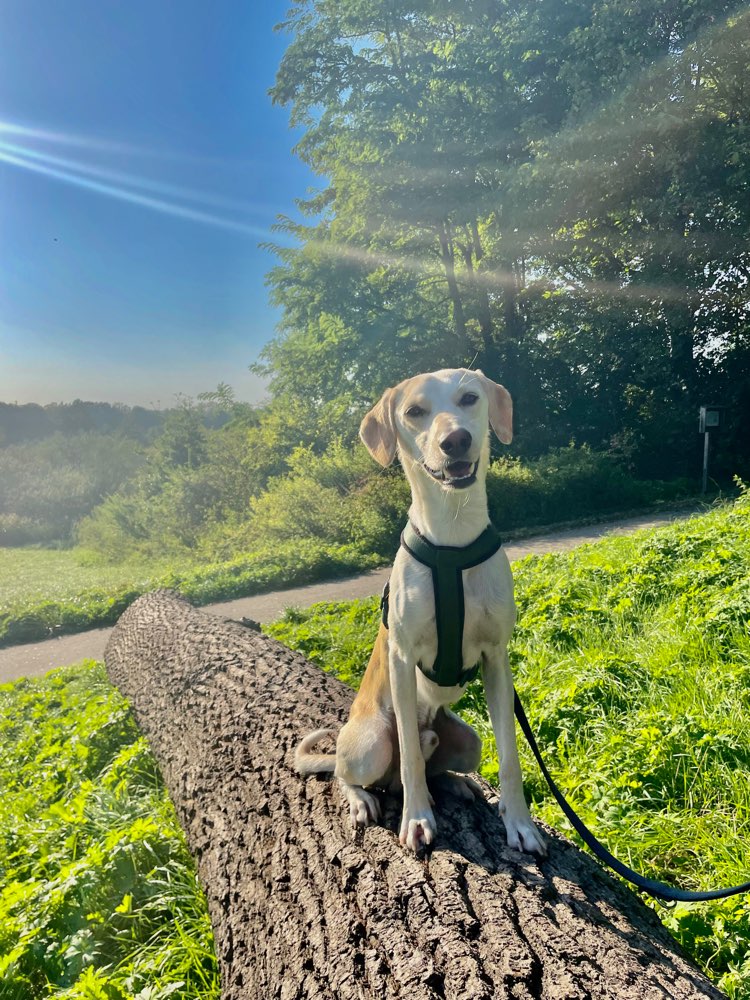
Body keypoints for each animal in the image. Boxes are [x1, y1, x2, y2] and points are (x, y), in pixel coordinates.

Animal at [294, 372, 548, 856]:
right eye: (414, 411)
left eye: (469, 398)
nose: (456, 440)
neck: (452, 535)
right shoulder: (402, 657)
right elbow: (410, 754)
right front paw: (416, 819)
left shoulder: (497, 659)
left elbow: (510, 755)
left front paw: (520, 823)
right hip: (371, 741)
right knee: (351, 772)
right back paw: (365, 799)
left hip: (468, 740)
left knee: (437, 766)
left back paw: (454, 784)